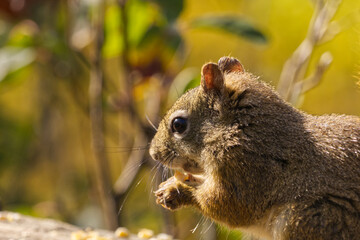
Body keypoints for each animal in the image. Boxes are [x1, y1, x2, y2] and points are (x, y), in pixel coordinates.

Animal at [148, 56, 360, 240]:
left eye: (178, 124)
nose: (153, 154)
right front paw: (173, 184)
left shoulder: (246, 168)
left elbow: (228, 207)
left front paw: (178, 190)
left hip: (305, 220)